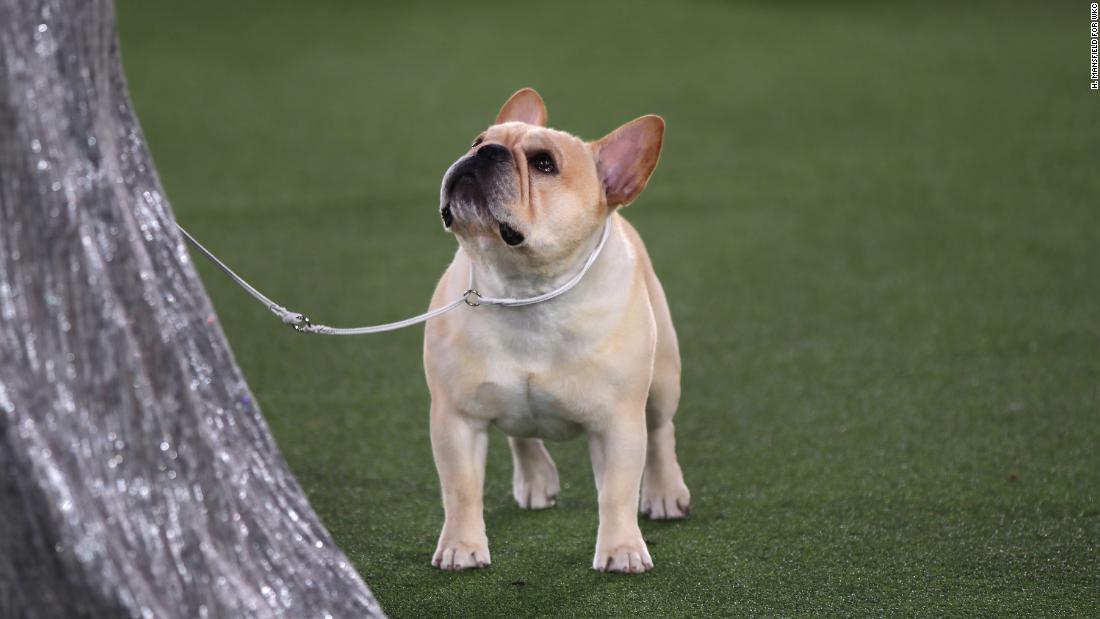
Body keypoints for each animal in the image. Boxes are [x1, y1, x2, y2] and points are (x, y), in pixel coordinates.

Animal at [422, 89, 686, 576]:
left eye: (544, 164)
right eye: (477, 140)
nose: (484, 153)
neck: (524, 291)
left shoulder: (618, 424)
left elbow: (617, 492)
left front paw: (621, 548)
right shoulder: (456, 417)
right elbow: (460, 488)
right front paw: (462, 545)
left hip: (663, 381)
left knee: (661, 431)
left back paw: (665, 492)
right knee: (519, 431)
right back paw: (535, 479)